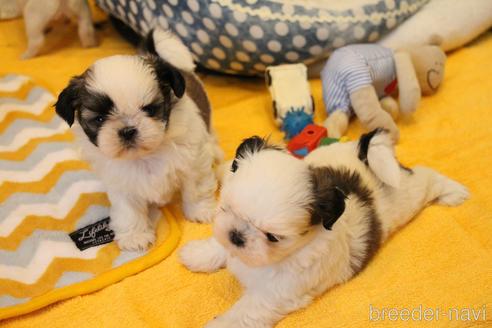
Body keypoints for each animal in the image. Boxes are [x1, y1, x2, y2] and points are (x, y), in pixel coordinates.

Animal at [55, 28, 221, 251]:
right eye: (99, 119)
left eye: (150, 109)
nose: (127, 130)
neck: (144, 156)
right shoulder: (121, 183)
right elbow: (128, 210)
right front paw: (135, 236)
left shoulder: (193, 160)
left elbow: (196, 187)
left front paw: (200, 211)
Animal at [181, 129, 468, 326]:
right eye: (226, 208)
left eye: (273, 237)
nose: (237, 236)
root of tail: (364, 156)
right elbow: (219, 245)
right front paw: (199, 254)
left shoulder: (275, 294)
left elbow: (244, 313)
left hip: (408, 194)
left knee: (426, 177)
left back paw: (453, 192)